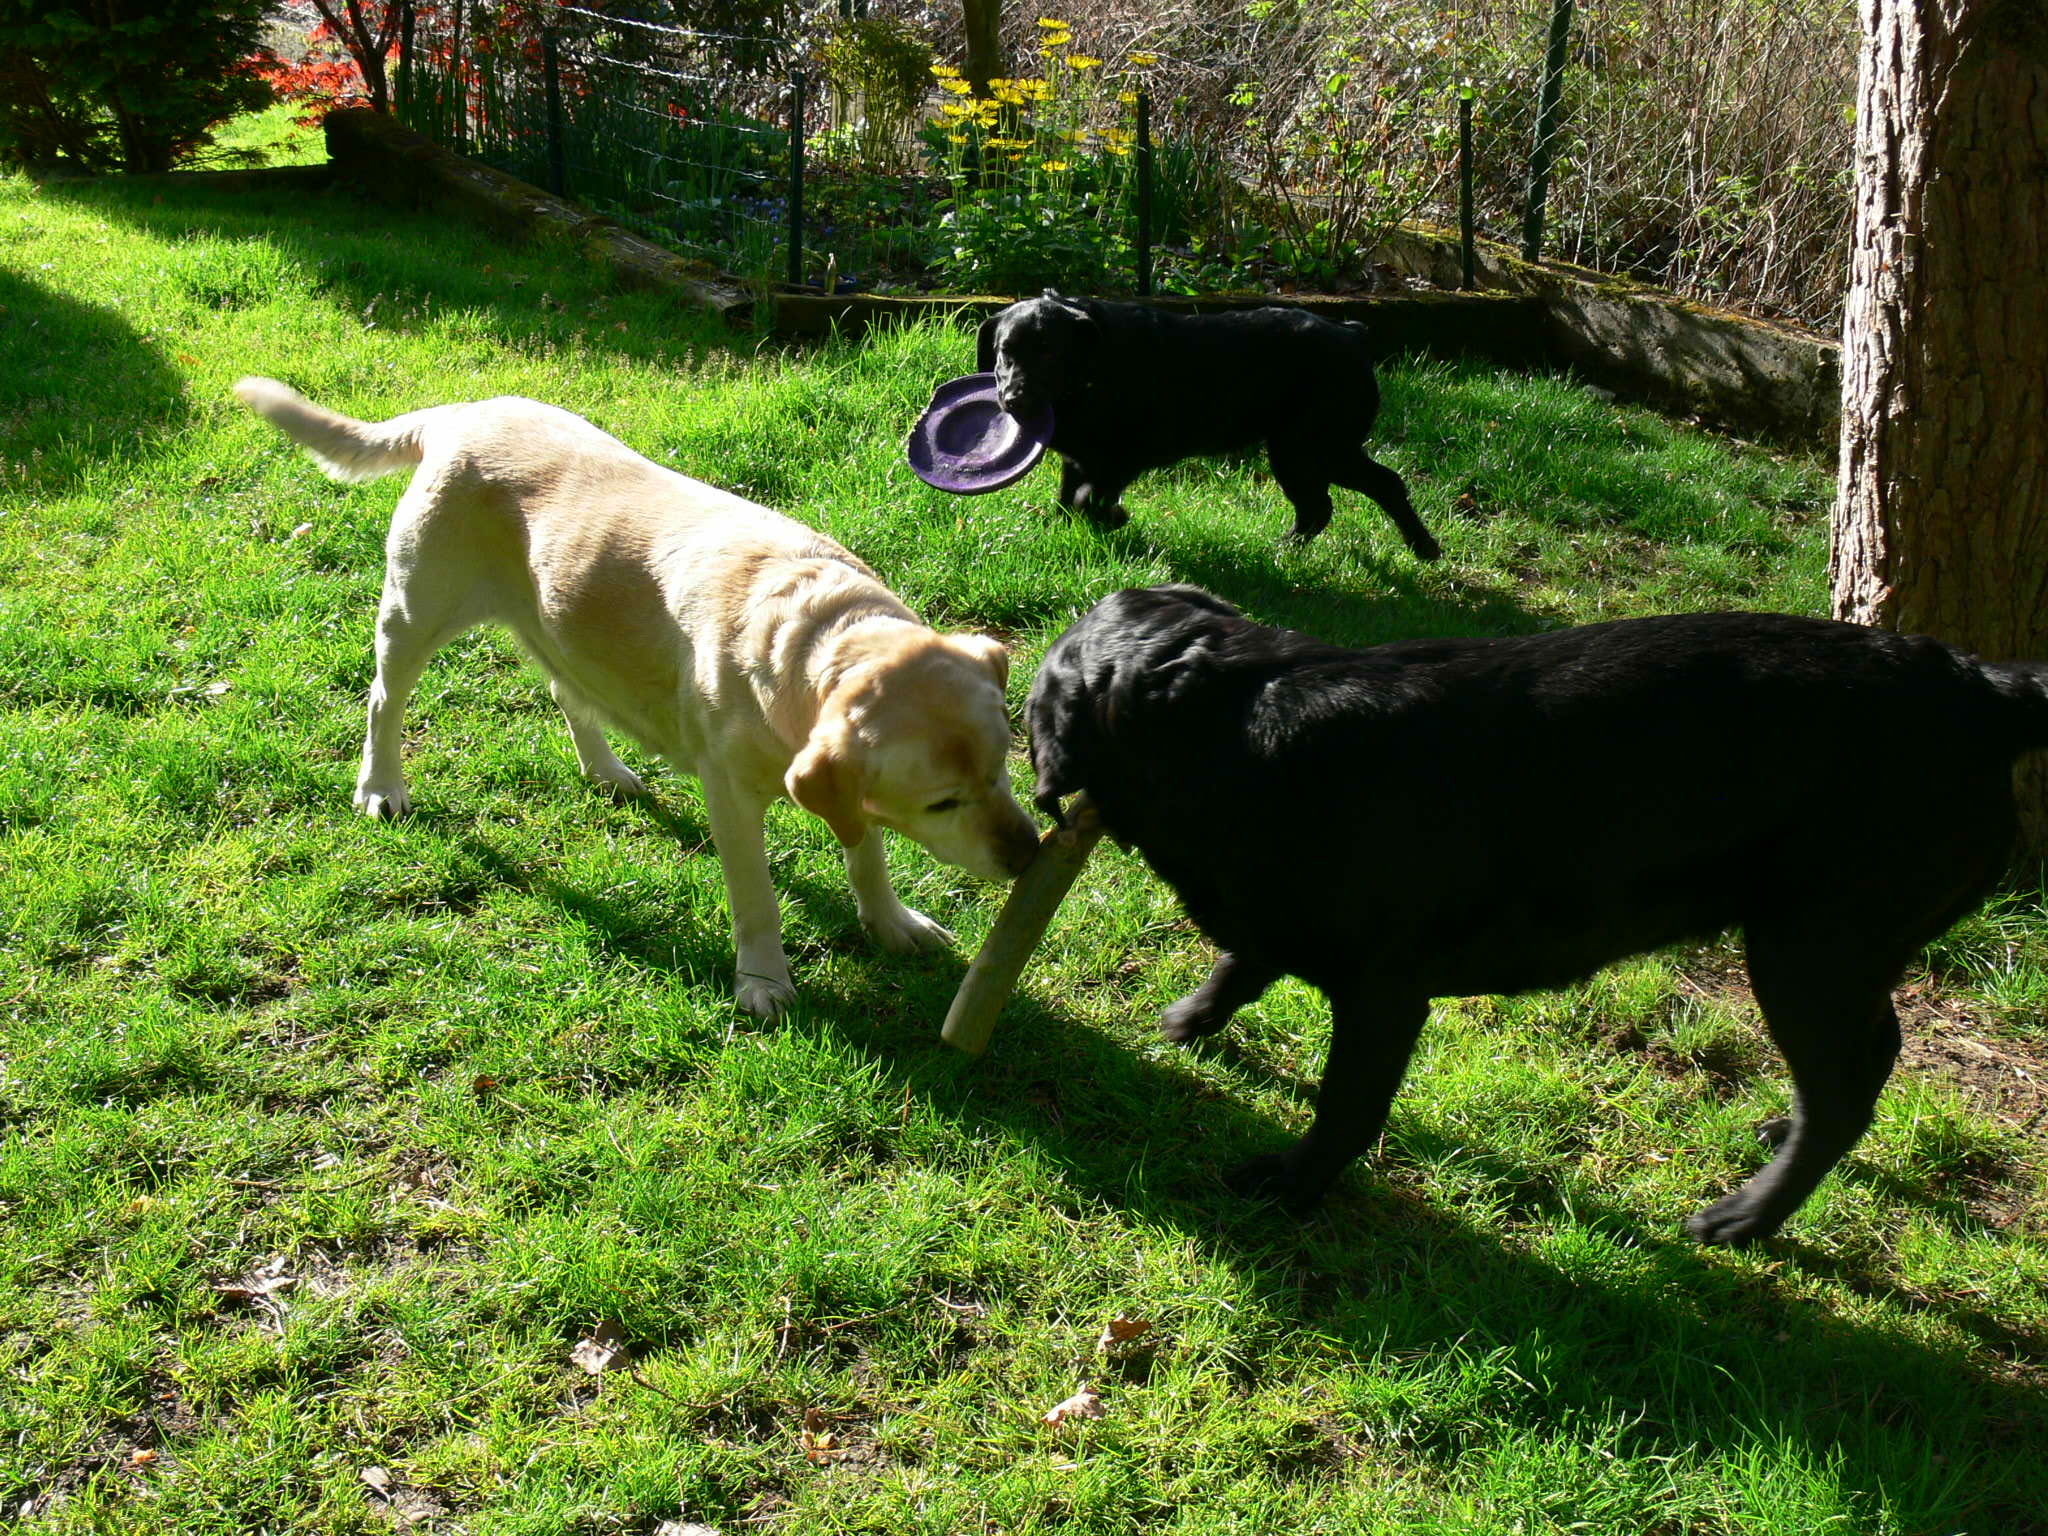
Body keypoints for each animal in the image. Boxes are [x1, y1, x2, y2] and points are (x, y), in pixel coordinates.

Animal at [974, 290, 1441, 561]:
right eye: (1005, 352)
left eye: (1049, 353)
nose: (1014, 401)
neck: (1091, 371)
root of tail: (1353, 332)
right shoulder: (1079, 460)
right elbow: (1069, 501)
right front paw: (1067, 530)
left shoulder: (1120, 459)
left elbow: (1089, 499)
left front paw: (1114, 519)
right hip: (1326, 449)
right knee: (1372, 488)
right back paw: (1419, 548)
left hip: (1305, 448)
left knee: (1329, 503)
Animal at [1032, 589, 2048, 1253]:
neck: (1239, 720)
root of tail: (1981, 686)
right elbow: (1243, 961)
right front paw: (1191, 1020)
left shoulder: (1386, 994)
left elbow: (1345, 1104)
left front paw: (1293, 1184)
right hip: (1838, 947)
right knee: (1862, 1065)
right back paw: (1776, 1136)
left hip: (1809, 946)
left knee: (1847, 1083)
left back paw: (1746, 1217)